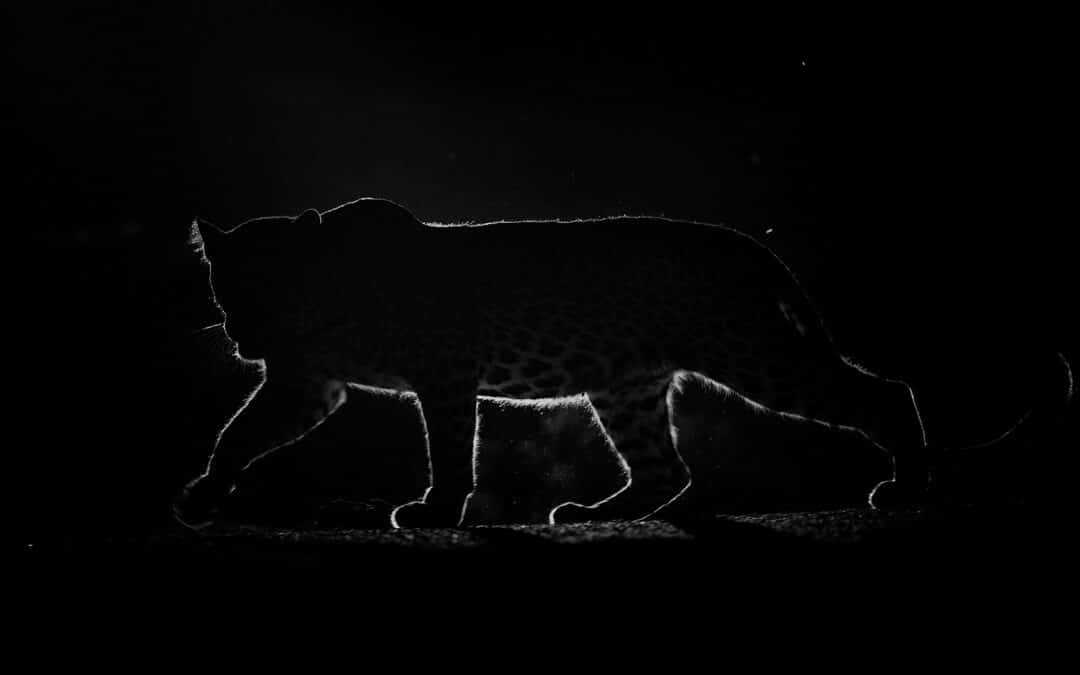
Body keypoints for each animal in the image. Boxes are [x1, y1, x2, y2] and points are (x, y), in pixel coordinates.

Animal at [174, 196, 937, 529]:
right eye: (225, 291)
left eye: (269, 289)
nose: (241, 338)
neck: (334, 298)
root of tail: (743, 242)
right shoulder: (308, 383)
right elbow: (240, 433)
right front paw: (205, 494)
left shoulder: (444, 377)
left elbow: (451, 448)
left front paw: (438, 509)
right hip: (626, 387)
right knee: (666, 469)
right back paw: (597, 510)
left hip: (750, 351)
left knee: (885, 393)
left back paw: (906, 487)